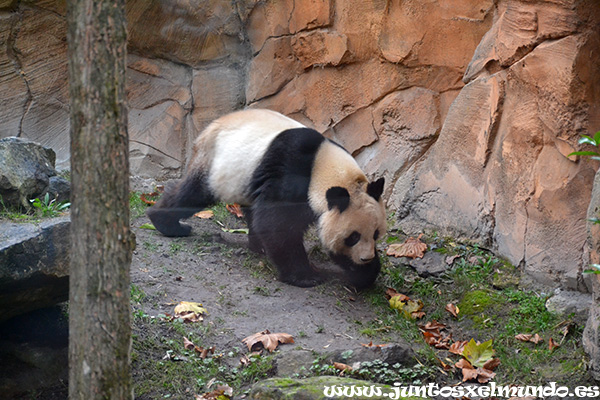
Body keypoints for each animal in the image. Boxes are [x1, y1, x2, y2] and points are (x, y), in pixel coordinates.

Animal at [148, 109, 386, 290]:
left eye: (375, 234)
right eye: (353, 236)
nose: (365, 257)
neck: (324, 167)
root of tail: (208, 128)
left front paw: (364, 273)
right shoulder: (292, 171)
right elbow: (276, 223)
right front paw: (305, 277)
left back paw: (258, 246)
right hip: (216, 162)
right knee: (194, 193)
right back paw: (167, 223)